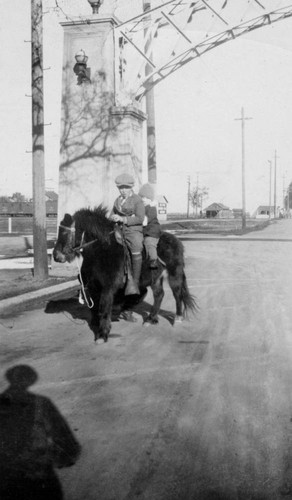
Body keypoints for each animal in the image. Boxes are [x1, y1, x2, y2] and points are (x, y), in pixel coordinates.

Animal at [53, 205, 197, 342]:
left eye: (64, 232)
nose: (56, 256)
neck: (102, 251)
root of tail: (176, 241)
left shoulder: (108, 287)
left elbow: (104, 308)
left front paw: (102, 334)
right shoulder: (93, 287)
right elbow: (94, 308)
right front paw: (97, 325)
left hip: (175, 274)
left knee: (177, 294)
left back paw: (177, 318)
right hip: (155, 278)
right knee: (159, 295)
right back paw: (151, 319)